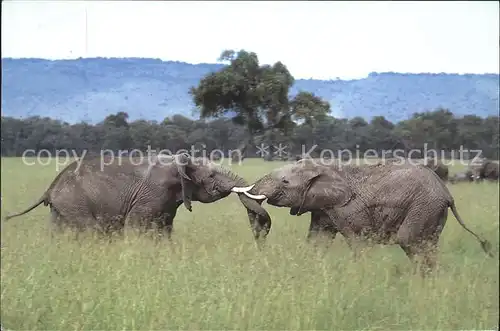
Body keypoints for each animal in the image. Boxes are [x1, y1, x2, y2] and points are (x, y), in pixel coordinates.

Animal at [3, 152, 272, 241]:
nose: (259, 237)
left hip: (62, 208)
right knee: (91, 231)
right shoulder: (152, 196)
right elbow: (137, 227)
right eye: (212, 176)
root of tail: (50, 188)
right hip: (74, 203)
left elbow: (165, 230)